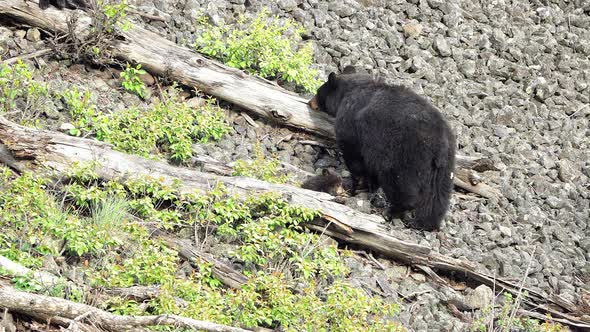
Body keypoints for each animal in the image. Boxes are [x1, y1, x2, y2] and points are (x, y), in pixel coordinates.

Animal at [310, 66, 458, 230]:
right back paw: (426, 222)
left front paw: (358, 185)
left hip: (403, 157)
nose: (310, 102)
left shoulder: (352, 126)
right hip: (445, 167)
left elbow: (354, 156)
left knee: (400, 186)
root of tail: (439, 145)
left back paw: (392, 212)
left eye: (318, 91)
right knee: (438, 196)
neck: (350, 91)